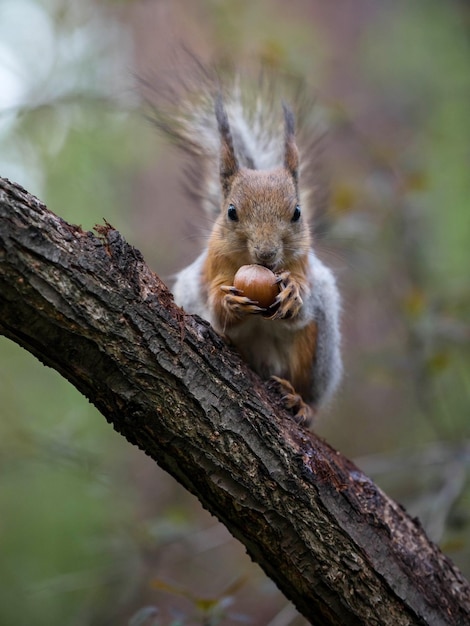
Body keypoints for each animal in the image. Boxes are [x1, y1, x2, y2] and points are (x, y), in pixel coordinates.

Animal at [151, 72, 342, 424]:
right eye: (231, 211)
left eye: (297, 212)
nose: (266, 254)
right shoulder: (215, 265)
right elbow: (218, 309)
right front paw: (227, 302)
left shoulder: (302, 264)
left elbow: (300, 303)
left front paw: (294, 293)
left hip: (319, 354)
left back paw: (301, 402)